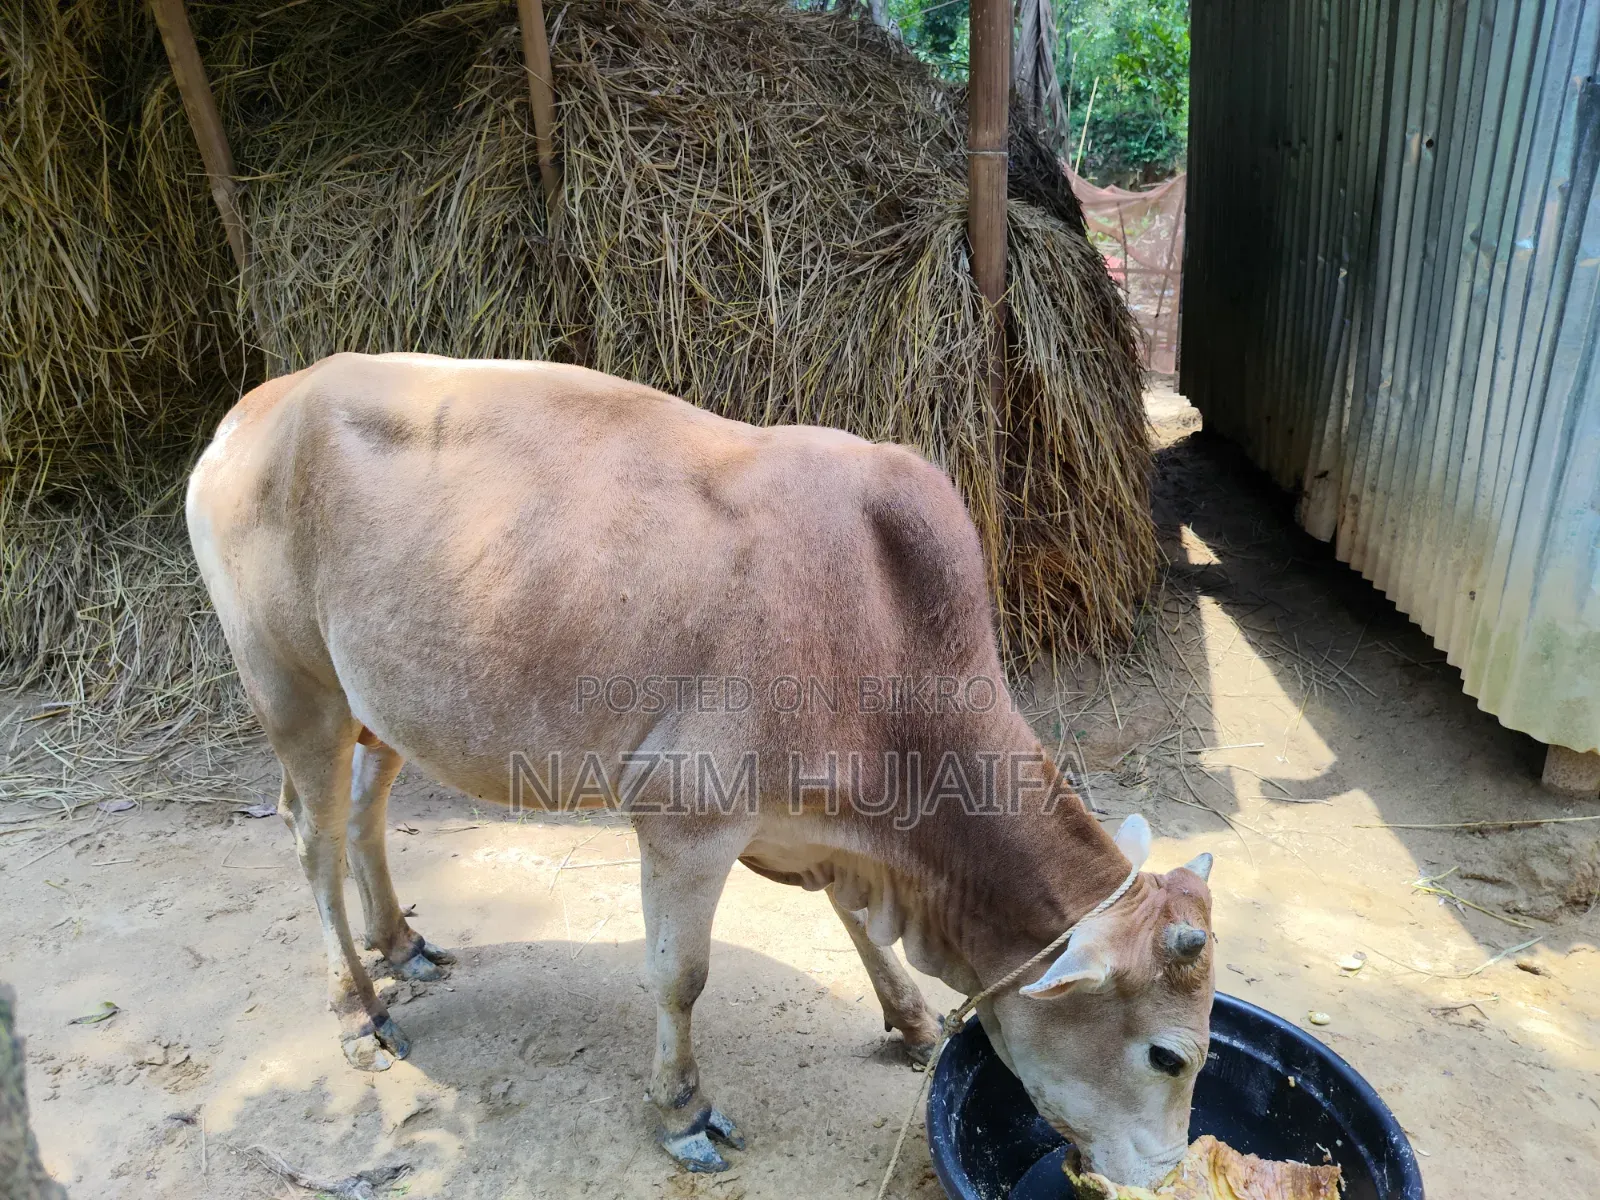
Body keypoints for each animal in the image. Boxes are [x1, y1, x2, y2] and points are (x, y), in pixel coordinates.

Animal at [185, 354, 1215, 1186]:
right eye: (1168, 1056)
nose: (1167, 1175)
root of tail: (263, 405)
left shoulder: (823, 831)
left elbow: (855, 926)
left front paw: (913, 1022)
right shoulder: (687, 820)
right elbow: (680, 976)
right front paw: (682, 1112)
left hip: (380, 706)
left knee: (363, 815)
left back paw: (399, 944)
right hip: (296, 690)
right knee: (312, 838)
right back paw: (357, 1010)